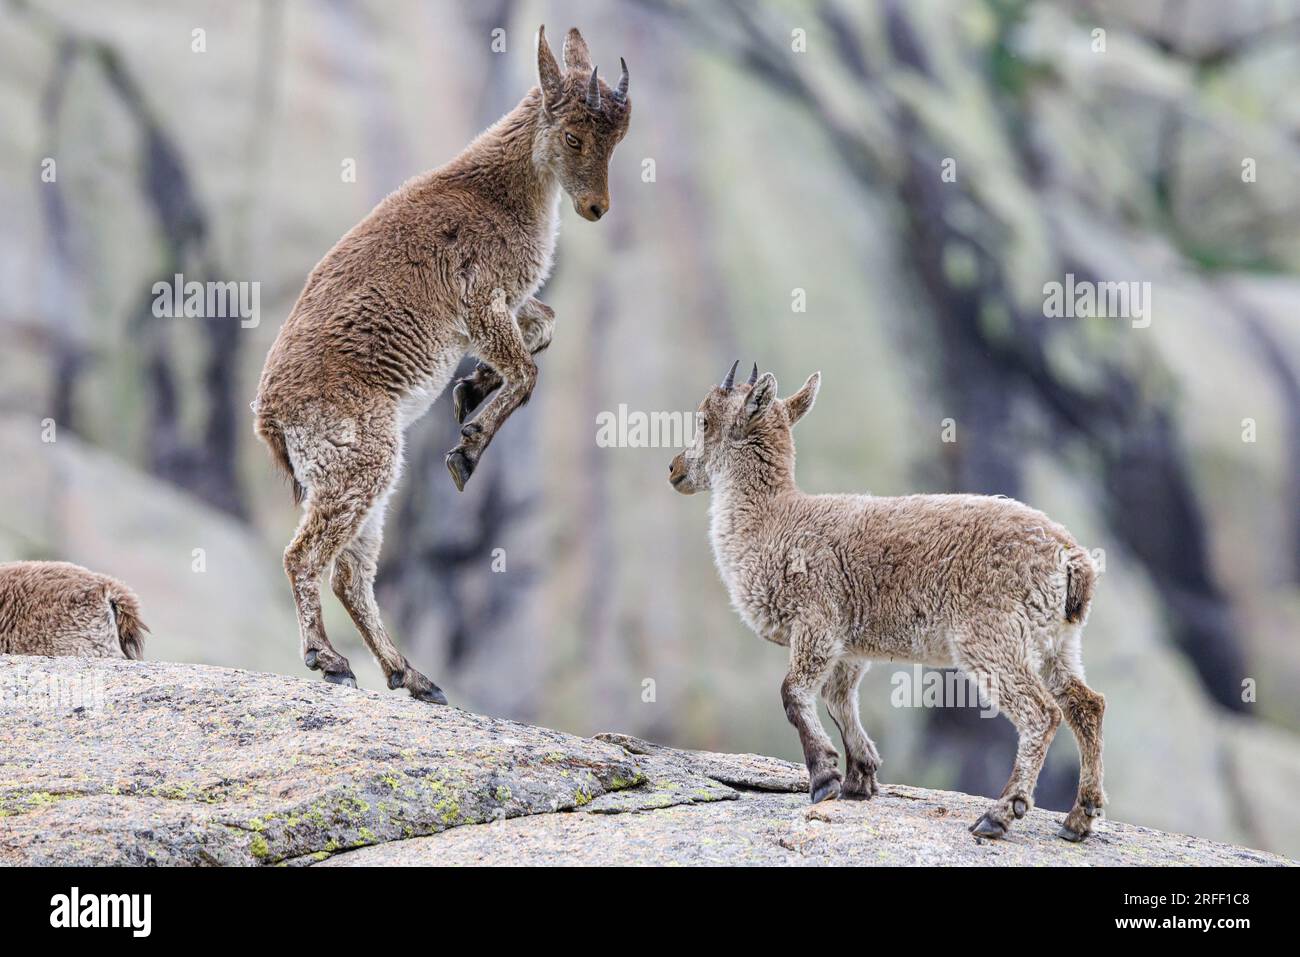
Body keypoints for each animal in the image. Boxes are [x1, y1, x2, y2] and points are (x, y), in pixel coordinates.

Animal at [253, 27, 630, 703]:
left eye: (619, 139)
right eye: (573, 136)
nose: (596, 207)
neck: (496, 192)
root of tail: (269, 419)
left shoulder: (506, 303)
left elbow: (546, 325)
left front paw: (471, 387)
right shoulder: (480, 299)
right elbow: (528, 371)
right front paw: (467, 447)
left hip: (363, 475)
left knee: (351, 572)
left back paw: (411, 674)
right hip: (359, 458)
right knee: (308, 555)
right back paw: (329, 658)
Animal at [669, 362, 1107, 842]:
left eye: (704, 419)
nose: (674, 468)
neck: (771, 522)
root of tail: (1072, 558)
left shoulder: (817, 619)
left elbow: (794, 691)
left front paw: (824, 777)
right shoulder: (848, 645)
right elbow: (839, 699)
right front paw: (861, 776)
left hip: (991, 636)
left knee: (1041, 713)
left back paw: (1001, 813)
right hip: (1057, 642)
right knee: (1087, 704)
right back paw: (1080, 816)